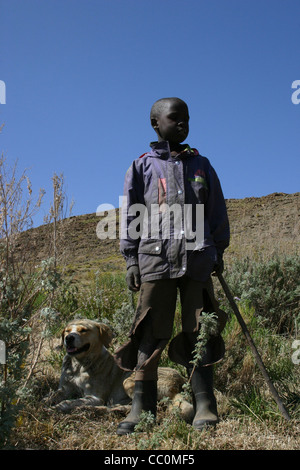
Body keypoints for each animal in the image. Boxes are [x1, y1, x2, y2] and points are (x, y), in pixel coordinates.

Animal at [45, 320, 193, 422]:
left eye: (84, 330)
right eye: (67, 330)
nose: (68, 338)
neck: (79, 366)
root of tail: (182, 380)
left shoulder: (95, 397)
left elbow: (68, 402)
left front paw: (55, 408)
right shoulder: (64, 389)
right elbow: (52, 396)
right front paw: (44, 403)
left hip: (128, 381)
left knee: (148, 407)